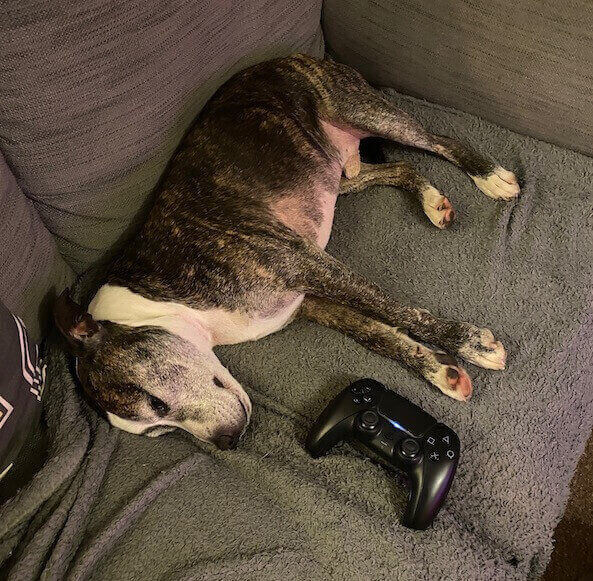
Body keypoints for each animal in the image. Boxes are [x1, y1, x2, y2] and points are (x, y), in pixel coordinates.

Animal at [53, 54, 512, 448]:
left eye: (155, 402)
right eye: (155, 431)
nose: (229, 443)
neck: (158, 306)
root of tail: (291, 57)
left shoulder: (304, 264)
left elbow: (396, 311)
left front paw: (471, 344)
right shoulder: (306, 301)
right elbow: (378, 334)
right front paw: (440, 370)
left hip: (367, 113)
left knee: (437, 139)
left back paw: (491, 176)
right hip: (337, 175)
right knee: (400, 167)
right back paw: (433, 202)